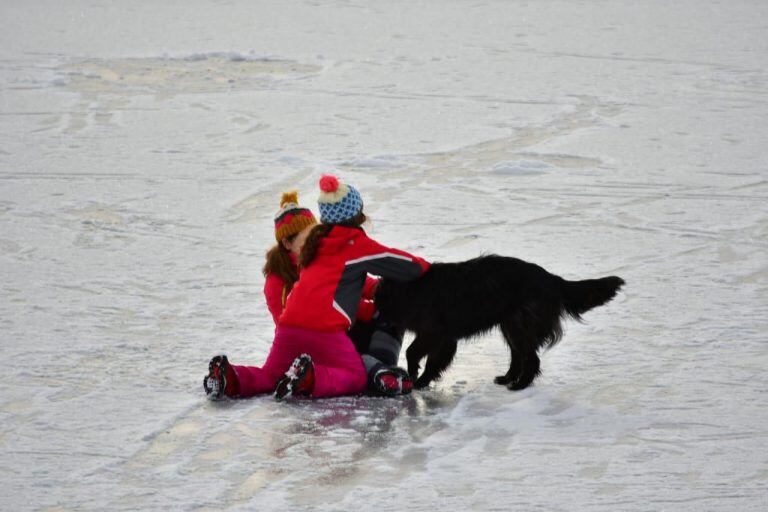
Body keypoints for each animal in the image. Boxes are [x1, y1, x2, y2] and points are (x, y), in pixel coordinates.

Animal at [376, 254, 624, 390]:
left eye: (380, 302)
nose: (379, 321)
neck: (413, 290)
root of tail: (552, 279)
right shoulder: (444, 338)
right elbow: (434, 362)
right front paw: (423, 380)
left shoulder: (433, 333)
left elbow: (413, 353)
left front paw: (415, 378)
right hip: (511, 326)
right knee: (518, 357)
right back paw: (507, 379)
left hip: (520, 326)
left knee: (531, 359)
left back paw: (520, 386)